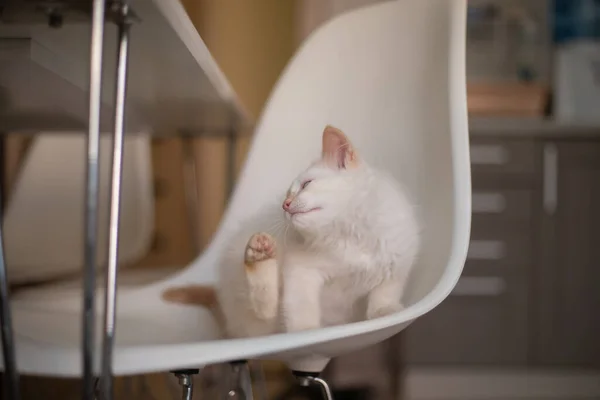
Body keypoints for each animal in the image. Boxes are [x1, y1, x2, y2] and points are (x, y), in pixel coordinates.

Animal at [162, 125, 420, 338]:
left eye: (306, 185)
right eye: (288, 194)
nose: (285, 206)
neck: (348, 234)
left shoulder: (398, 261)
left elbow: (386, 291)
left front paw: (384, 310)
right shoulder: (301, 269)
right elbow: (301, 306)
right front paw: (306, 330)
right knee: (264, 309)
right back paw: (259, 256)